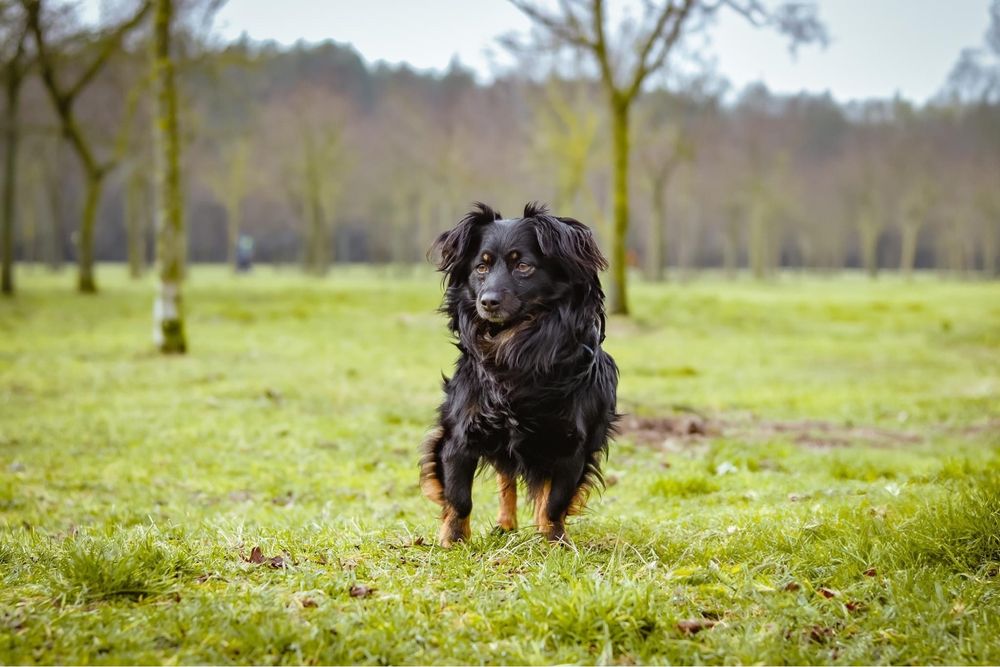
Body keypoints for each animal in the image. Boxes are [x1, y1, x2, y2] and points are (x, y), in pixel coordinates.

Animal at [416, 204, 616, 548]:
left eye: (523, 266)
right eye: (481, 267)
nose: (487, 302)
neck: (515, 344)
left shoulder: (573, 446)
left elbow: (555, 501)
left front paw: (555, 541)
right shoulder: (460, 433)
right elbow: (459, 496)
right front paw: (453, 541)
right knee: (505, 476)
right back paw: (505, 524)